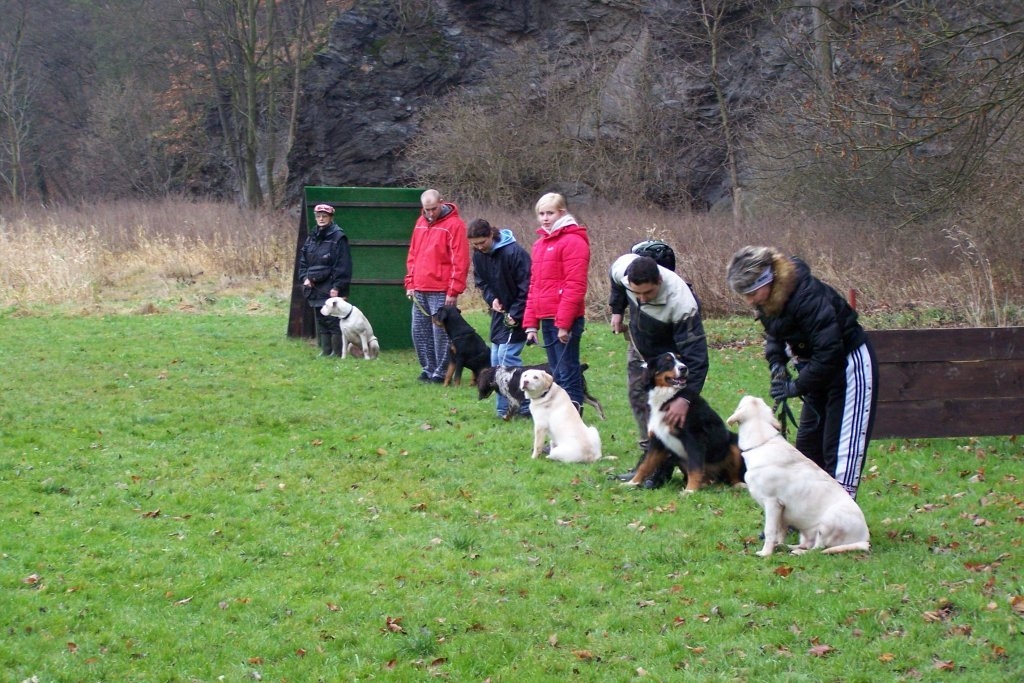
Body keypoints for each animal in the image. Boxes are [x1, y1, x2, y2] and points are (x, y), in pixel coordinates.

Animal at [473, 366, 602, 419]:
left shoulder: (514, 400)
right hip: (582, 393)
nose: (478, 398)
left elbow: (509, 413)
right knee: (596, 402)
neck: (500, 375)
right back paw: (602, 418)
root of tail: (580, 367)